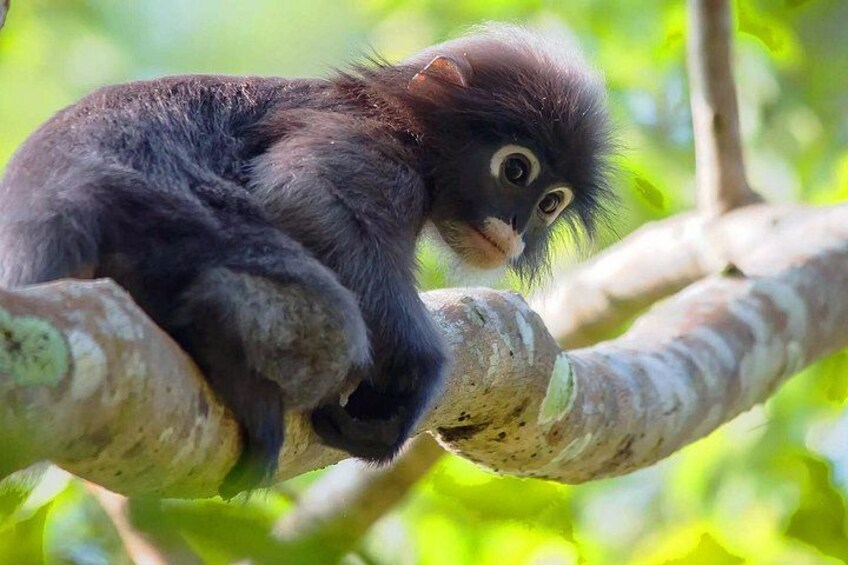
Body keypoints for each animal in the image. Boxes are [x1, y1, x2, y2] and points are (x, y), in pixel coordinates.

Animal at [0, 24, 612, 495]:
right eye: (517, 170)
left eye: (551, 204)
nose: (517, 228)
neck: (407, 128)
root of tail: (55, 200)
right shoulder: (371, 145)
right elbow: (301, 192)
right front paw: (417, 369)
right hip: (170, 216)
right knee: (332, 321)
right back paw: (220, 329)